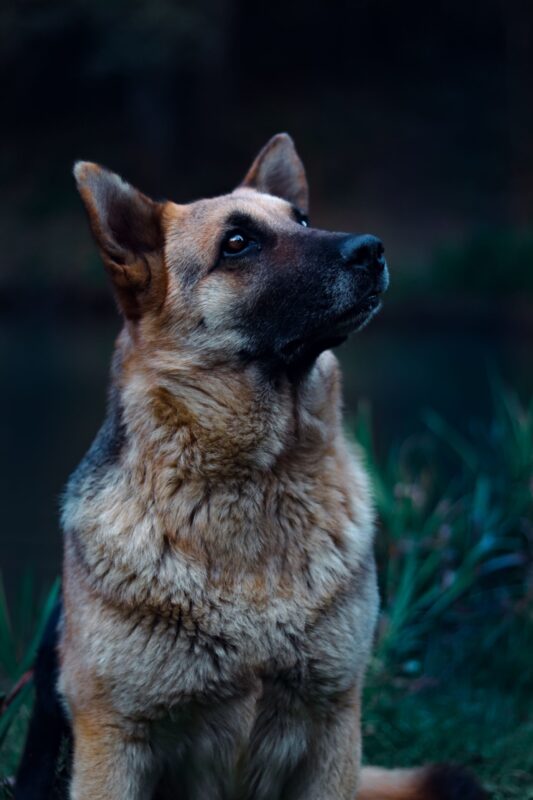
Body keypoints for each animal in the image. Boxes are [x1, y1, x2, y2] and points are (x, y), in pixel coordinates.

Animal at [13, 136, 486, 800]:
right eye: (237, 242)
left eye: (303, 220)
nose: (372, 249)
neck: (259, 477)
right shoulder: (114, 740)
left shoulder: (334, 723)